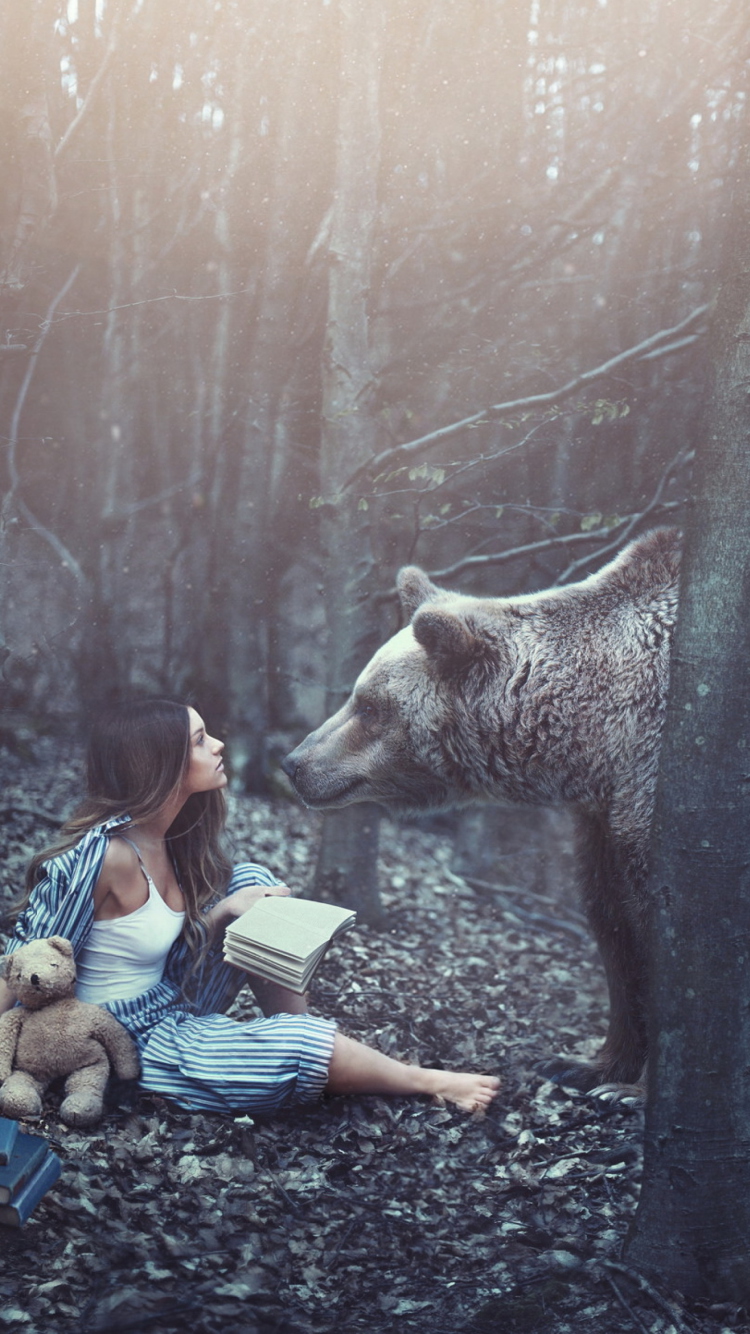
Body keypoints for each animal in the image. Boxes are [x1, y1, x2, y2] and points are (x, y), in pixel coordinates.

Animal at [282, 525, 680, 1088]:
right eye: (357, 695)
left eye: (370, 705)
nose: (295, 762)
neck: (597, 739)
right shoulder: (605, 812)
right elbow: (614, 919)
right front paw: (588, 1064)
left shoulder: (650, 782)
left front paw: (633, 1091)